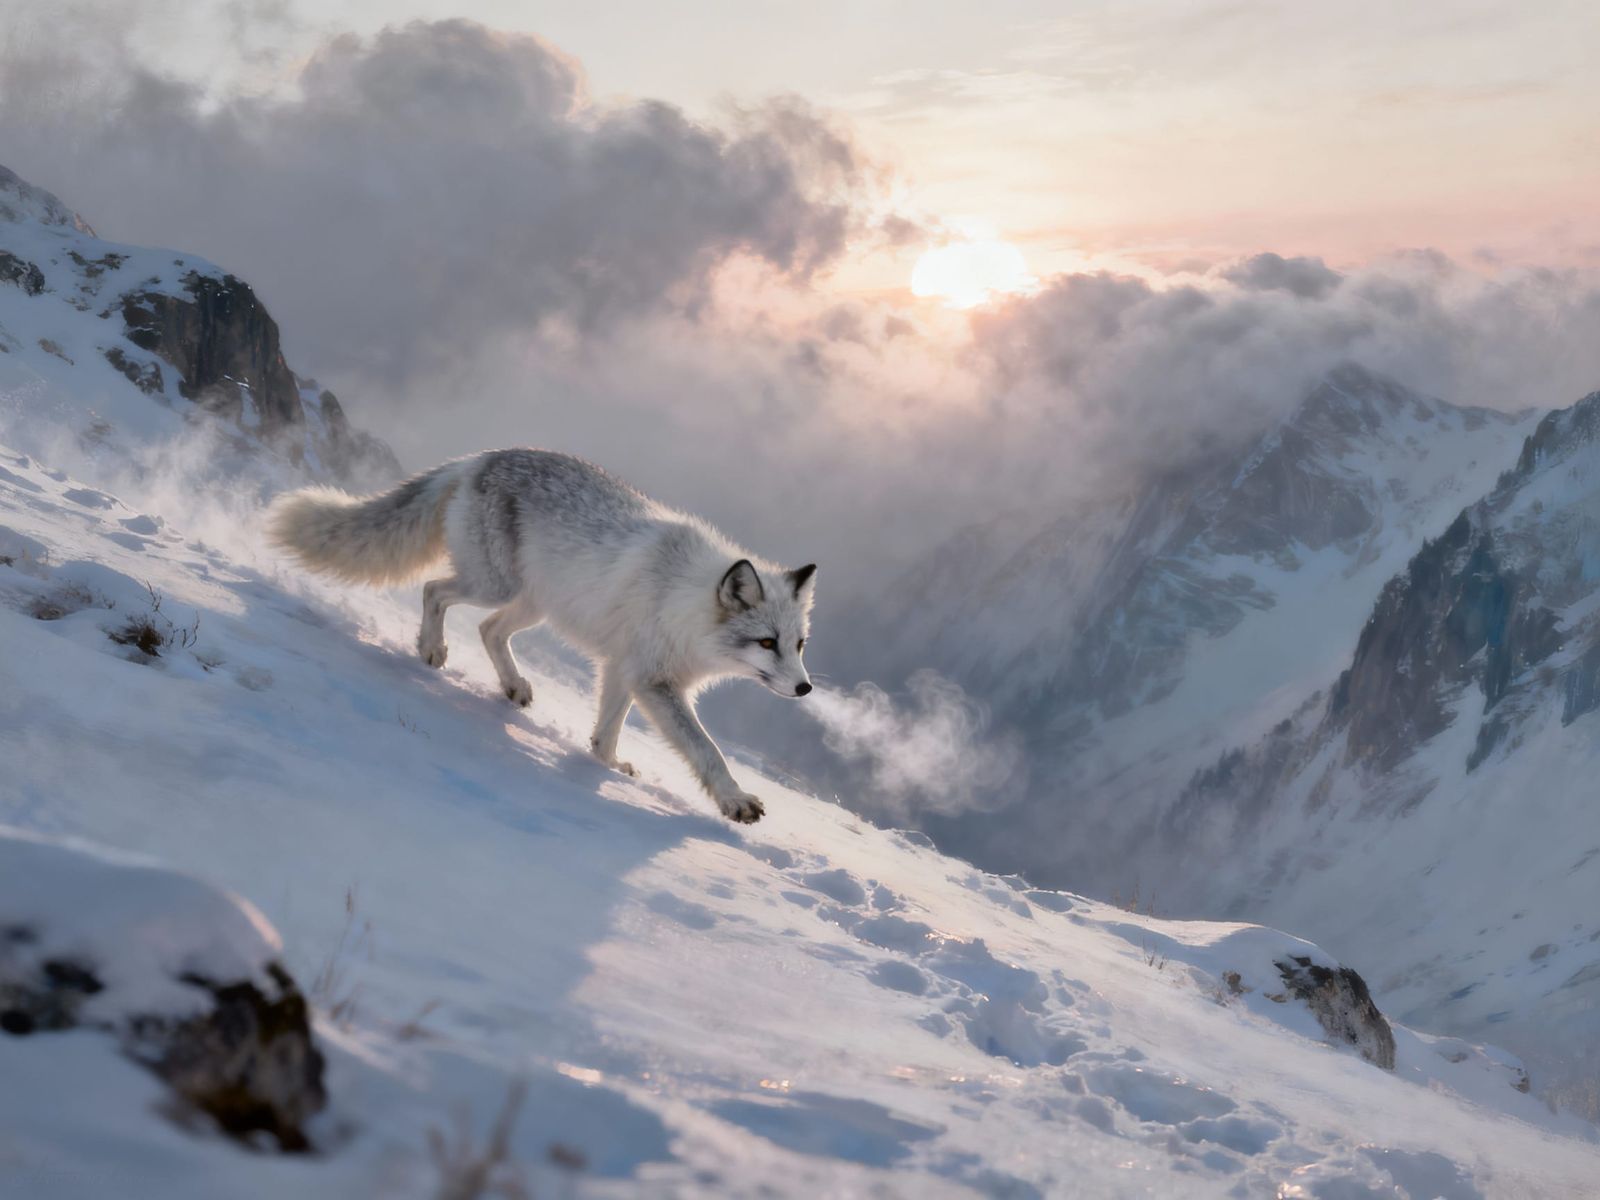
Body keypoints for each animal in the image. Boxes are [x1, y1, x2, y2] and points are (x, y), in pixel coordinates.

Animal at [267, 449, 815, 823]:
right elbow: (707, 749)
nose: (805, 687)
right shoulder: (653, 681)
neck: (684, 601)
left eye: (798, 644)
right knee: (433, 590)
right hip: (494, 586)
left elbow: (606, 732)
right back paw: (431, 649)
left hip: (533, 606)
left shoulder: (622, 669)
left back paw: (512, 686)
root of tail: (480, 457)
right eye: (767, 643)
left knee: (488, 630)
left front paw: (605, 767)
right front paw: (735, 800)